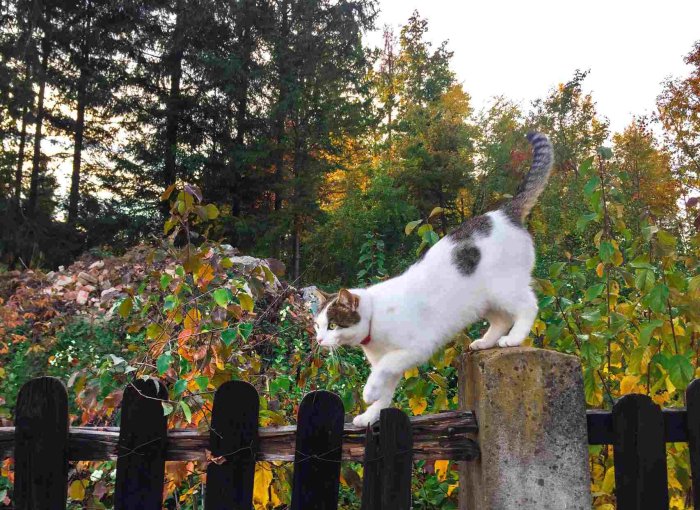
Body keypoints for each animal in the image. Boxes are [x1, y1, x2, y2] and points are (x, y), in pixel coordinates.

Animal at [314, 132, 556, 426]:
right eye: (317, 325)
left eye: (332, 325)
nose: (319, 340)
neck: (374, 322)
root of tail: (503, 213)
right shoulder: (392, 362)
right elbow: (385, 391)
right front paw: (371, 415)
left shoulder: (414, 349)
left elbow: (382, 369)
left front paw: (368, 392)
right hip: (483, 301)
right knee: (501, 320)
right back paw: (485, 342)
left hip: (504, 288)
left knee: (528, 306)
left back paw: (514, 338)